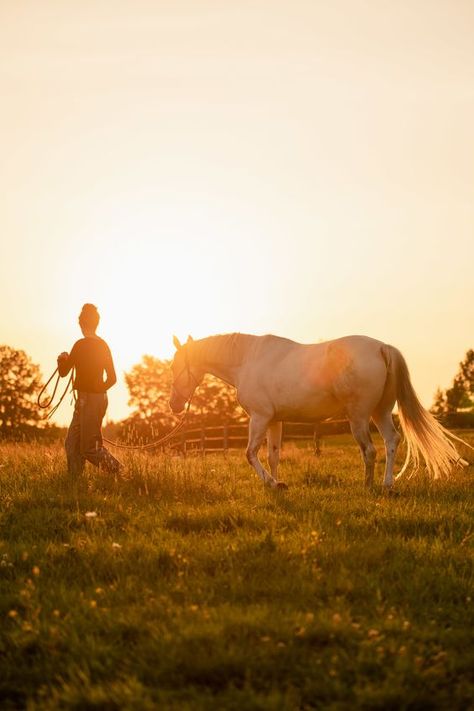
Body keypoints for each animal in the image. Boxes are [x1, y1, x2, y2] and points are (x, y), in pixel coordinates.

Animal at [168, 334, 468, 490]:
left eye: (173, 366)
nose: (174, 405)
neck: (247, 361)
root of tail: (382, 348)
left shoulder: (259, 418)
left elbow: (250, 454)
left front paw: (271, 483)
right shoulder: (275, 420)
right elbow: (273, 455)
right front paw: (277, 483)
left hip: (359, 417)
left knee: (370, 450)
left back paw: (368, 486)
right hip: (380, 412)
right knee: (392, 441)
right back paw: (387, 484)